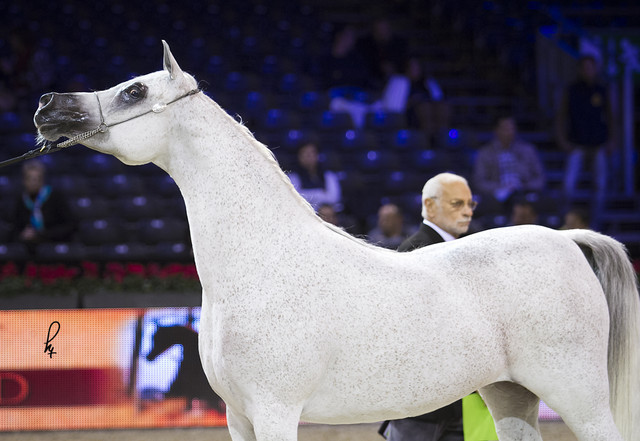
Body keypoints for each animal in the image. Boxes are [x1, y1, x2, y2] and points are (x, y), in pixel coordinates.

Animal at [33, 41, 640, 441]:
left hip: (578, 396)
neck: (263, 261)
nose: (47, 105)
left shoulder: (276, 411)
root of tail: (566, 240)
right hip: (511, 394)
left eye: (134, 90)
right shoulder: (239, 416)